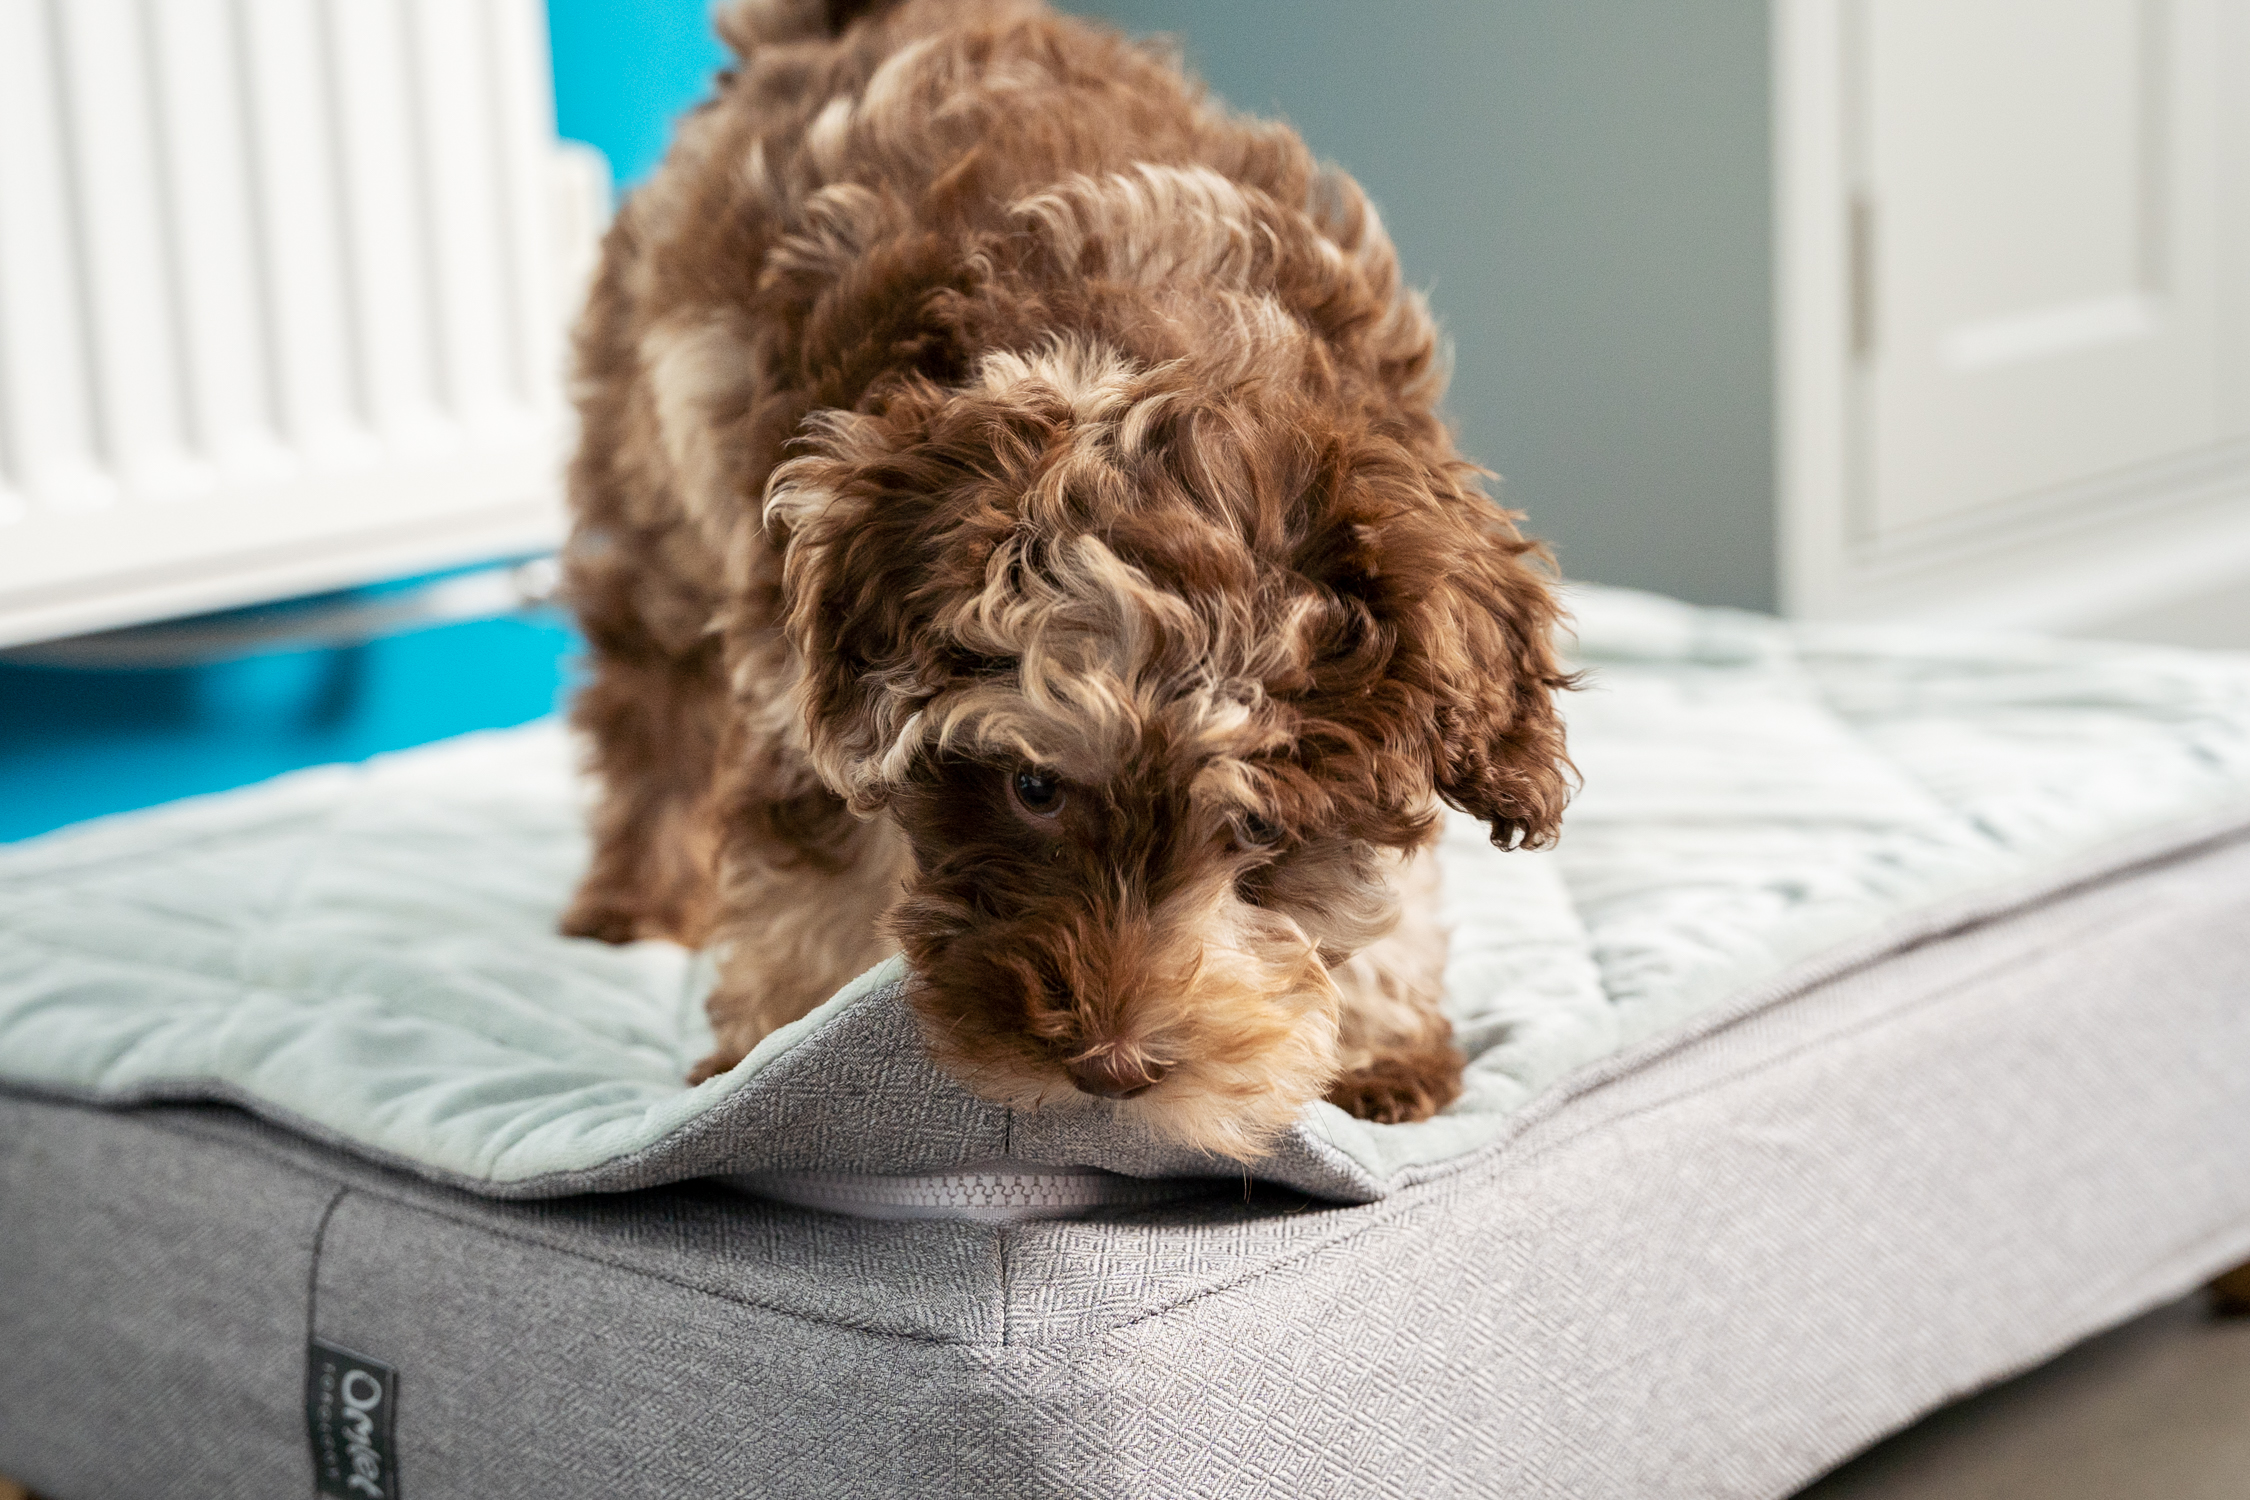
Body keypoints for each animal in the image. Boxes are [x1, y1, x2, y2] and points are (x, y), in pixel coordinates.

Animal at [560, 0, 1575, 1160]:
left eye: (1264, 828)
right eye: (1034, 789)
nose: (1109, 1066)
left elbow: (1389, 881)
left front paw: (1376, 1042)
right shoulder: (809, 676)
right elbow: (822, 872)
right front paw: (778, 1050)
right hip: (653, 476)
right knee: (654, 700)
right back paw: (636, 899)